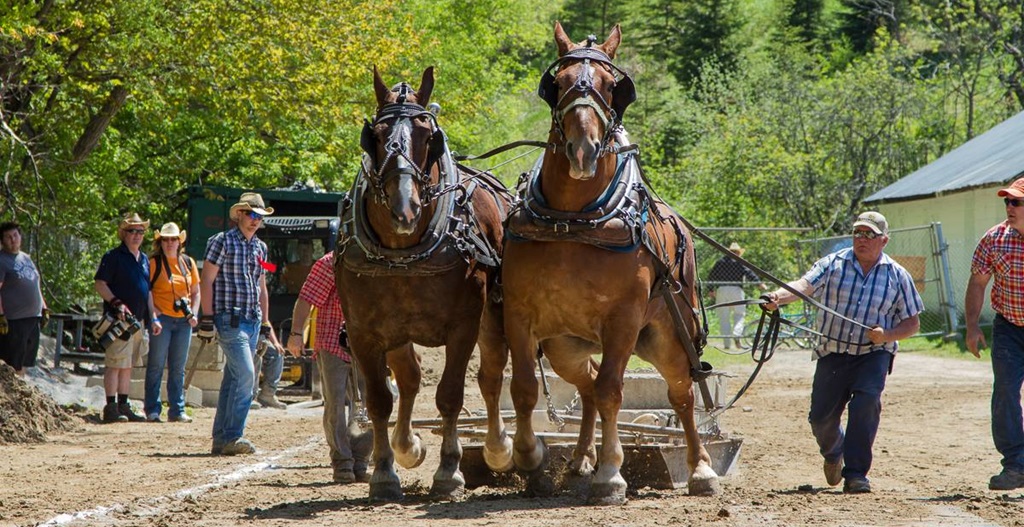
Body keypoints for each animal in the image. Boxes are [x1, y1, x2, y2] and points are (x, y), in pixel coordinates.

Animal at [335, 66, 514, 500]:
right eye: (376, 136)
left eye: (427, 137)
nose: (406, 209)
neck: (405, 254)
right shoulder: (365, 332)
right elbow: (380, 401)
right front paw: (385, 472)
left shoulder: (464, 326)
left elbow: (450, 396)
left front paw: (449, 472)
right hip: (398, 332)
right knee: (410, 378)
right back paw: (407, 446)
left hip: (492, 318)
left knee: (491, 376)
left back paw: (499, 447)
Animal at [501, 23, 720, 504]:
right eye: (560, 82)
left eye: (608, 85)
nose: (582, 151)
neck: (572, 220)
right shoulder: (519, 314)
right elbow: (525, 388)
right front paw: (528, 458)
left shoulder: (623, 319)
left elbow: (612, 392)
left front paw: (612, 474)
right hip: (565, 345)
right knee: (584, 384)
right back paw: (582, 457)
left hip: (666, 336)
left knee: (680, 393)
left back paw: (701, 469)